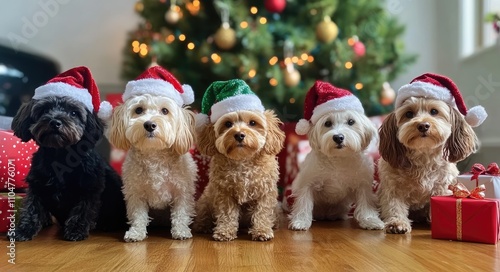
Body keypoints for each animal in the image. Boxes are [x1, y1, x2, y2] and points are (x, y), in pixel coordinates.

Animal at [10, 96, 127, 241]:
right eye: (45, 110)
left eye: (73, 113)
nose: (55, 122)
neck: (60, 155)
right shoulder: (37, 184)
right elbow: (31, 208)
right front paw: (23, 230)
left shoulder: (90, 187)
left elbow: (83, 209)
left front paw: (76, 229)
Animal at [108, 92, 196, 241]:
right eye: (138, 110)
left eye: (165, 111)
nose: (149, 125)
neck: (154, 155)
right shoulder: (135, 192)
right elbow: (138, 215)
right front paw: (136, 232)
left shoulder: (182, 191)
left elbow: (181, 213)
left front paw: (181, 231)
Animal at [192, 109, 286, 241]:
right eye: (228, 124)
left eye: (252, 123)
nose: (239, 135)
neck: (242, 160)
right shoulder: (225, 192)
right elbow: (227, 213)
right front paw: (225, 231)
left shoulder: (265, 192)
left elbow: (262, 212)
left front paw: (262, 230)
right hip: (205, 201)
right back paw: (203, 226)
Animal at [290, 82, 382, 231]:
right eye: (327, 123)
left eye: (351, 121)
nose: (338, 137)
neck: (338, 159)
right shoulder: (307, 182)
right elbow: (304, 202)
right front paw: (301, 221)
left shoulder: (362, 185)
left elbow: (365, 203)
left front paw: (370, 220)